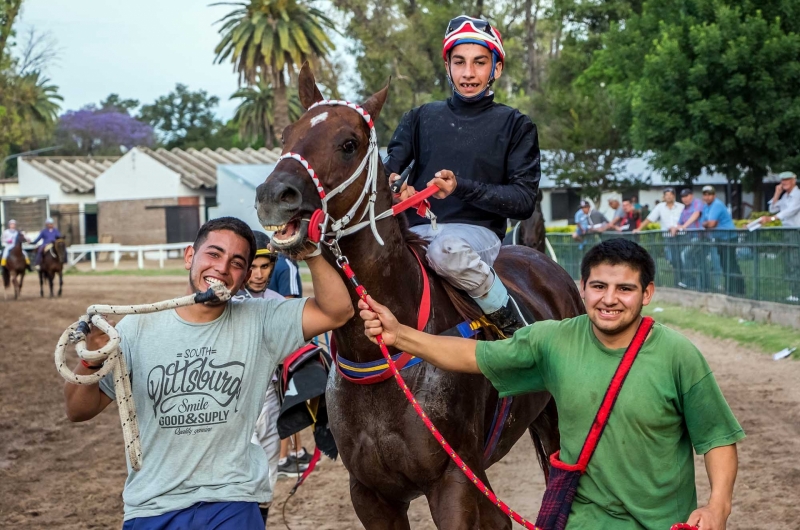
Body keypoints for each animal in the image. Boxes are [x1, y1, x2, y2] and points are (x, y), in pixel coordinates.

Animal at [260, 66, 584, 528]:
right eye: (288, 134)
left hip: (557, 425)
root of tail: (539, 258)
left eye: (348, 143)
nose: (274, 197)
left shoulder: (453, 481)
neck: (379, 356)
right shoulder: (370, 494)